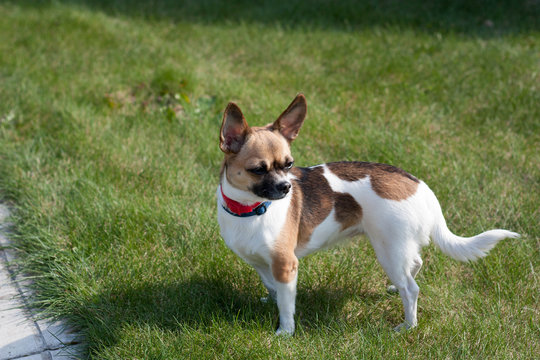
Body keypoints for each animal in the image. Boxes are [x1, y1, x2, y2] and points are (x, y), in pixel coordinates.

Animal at [215, 93, 520, 334]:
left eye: (289, 164)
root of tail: (421, 187)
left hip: (388, 249)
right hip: (398, 249)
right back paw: (396, 290)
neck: (250, 210)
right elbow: (271, 286)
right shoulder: (260, 263)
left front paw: (285, 332)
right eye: (258, 169)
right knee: (414, 265)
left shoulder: (286, 264)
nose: (287, 187)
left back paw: (407, 326)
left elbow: (287, 304)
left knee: (412, 289)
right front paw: (270, 300)